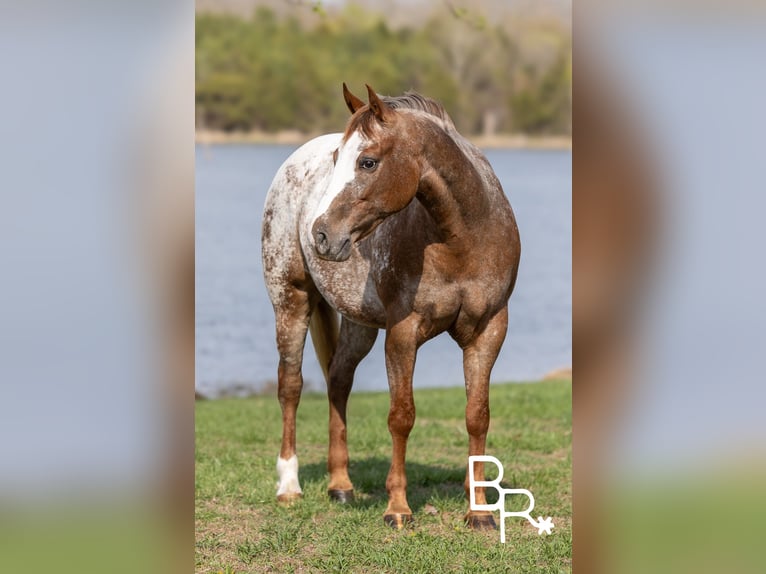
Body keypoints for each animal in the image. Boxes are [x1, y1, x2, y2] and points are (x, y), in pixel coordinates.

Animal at [261, 84, 520, 529]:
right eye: (337, 160)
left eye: (367, 161)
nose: (321, 234)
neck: (462, 240)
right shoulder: (403, 333)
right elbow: (401, 416)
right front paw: (397, 508)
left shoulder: (489, 330)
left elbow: (477, 414)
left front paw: (480, 512)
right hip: (290, 299)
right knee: (290, 385)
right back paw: (289, 486)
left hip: (359, 323)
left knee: (338, 380)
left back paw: (341, 486)